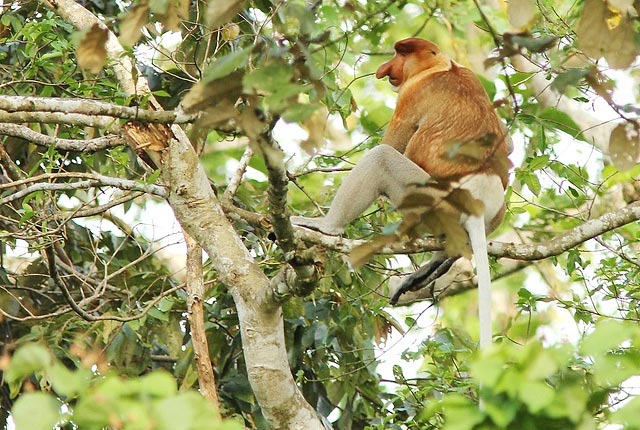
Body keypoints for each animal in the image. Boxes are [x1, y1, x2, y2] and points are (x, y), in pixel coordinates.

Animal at [291, 38, 511, 347]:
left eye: (401, 53)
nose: (384, 69)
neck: (443, 66)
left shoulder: (412, 94)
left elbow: (392, 145)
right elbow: (509, 142)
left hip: (432, 199)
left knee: (381, 158)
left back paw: (327, 227)